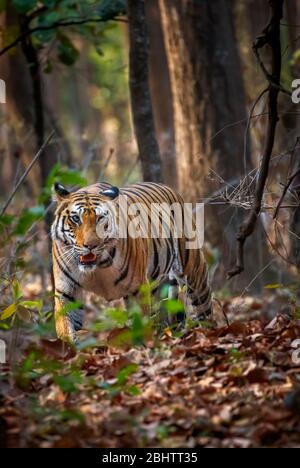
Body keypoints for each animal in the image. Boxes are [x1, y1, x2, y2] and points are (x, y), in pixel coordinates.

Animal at [51, 181, 212, 342]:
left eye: (100, 218)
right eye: (76, 219)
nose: (91, 245)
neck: (97, 267)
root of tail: (168, 188)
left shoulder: (138, 288)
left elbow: (140, 324)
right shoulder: (66, 292)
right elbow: (64, 326)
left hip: (193, 272)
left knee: (204, 309)